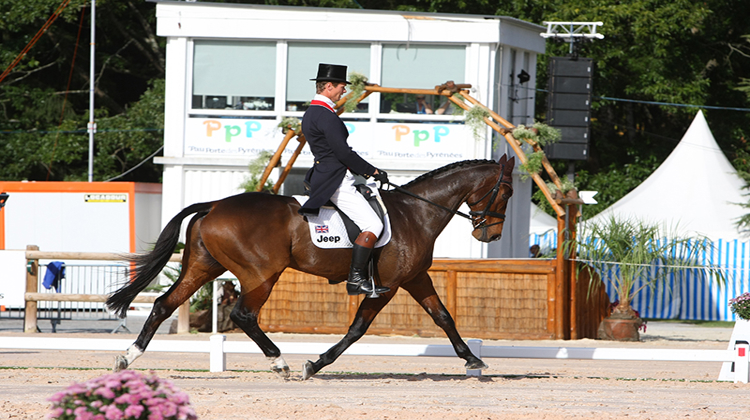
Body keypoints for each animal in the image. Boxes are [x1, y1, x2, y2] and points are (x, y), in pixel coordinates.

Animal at [107, 156, 516, 378]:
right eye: (508, 191)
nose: (491, 235)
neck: (416, 212)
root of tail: (214, 205)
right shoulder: (387, 287)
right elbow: (356, 330)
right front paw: (315, 364)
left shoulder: (415, 277)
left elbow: (443, 316)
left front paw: (473, 359)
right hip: (260, 274)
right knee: (243, 315)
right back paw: (280, 363)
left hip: (204, 267)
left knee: (164, 305)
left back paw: (128, 357)